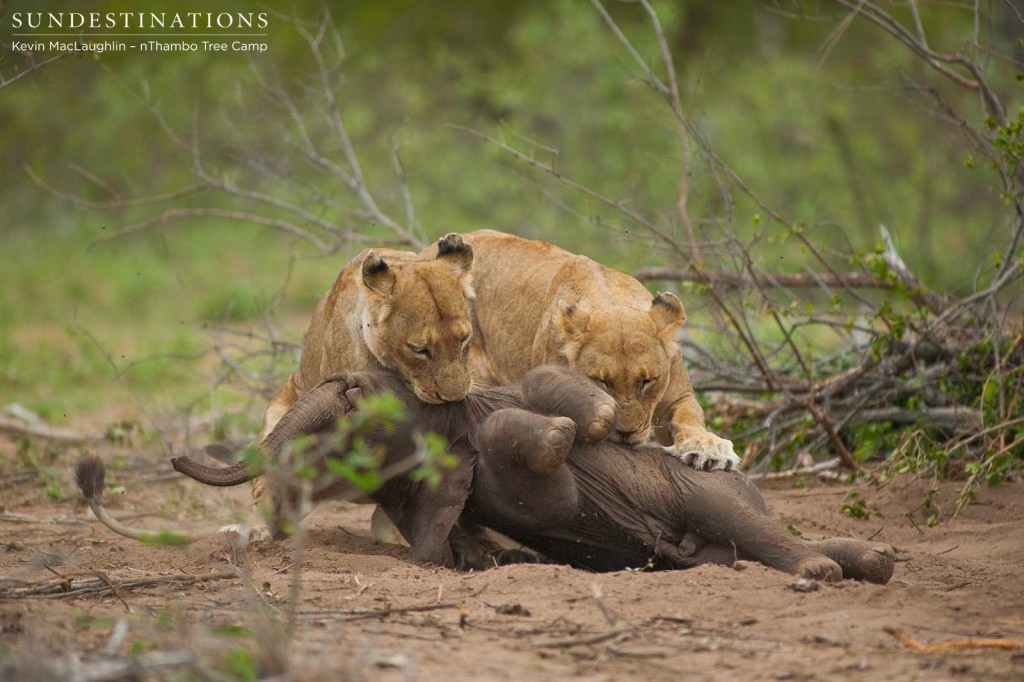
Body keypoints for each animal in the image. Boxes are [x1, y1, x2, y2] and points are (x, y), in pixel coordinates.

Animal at [172, 364, 892, 581]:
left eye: (354, 390)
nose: (176, 457)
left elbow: (558, 450)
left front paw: (570, 432)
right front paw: (479, 565)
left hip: (705, 482)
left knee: (736, 516)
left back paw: (823, 573)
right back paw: (873, 563)